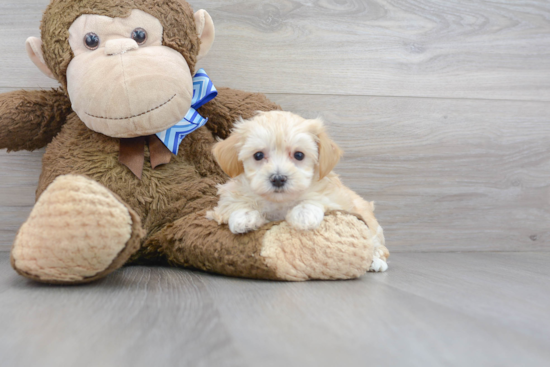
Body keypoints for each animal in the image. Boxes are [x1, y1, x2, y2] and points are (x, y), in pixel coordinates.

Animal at [207, 110, 392, 272]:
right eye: (258, 155)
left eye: (299, 155)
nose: (278, 178)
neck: (279, 202)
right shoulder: (229, 197)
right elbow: (235, 204)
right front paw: (244, 216)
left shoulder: (335, 198)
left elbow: (316, 199)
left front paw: (303, 215)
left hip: (371, 224)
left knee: (378, 245)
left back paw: (376, 261)